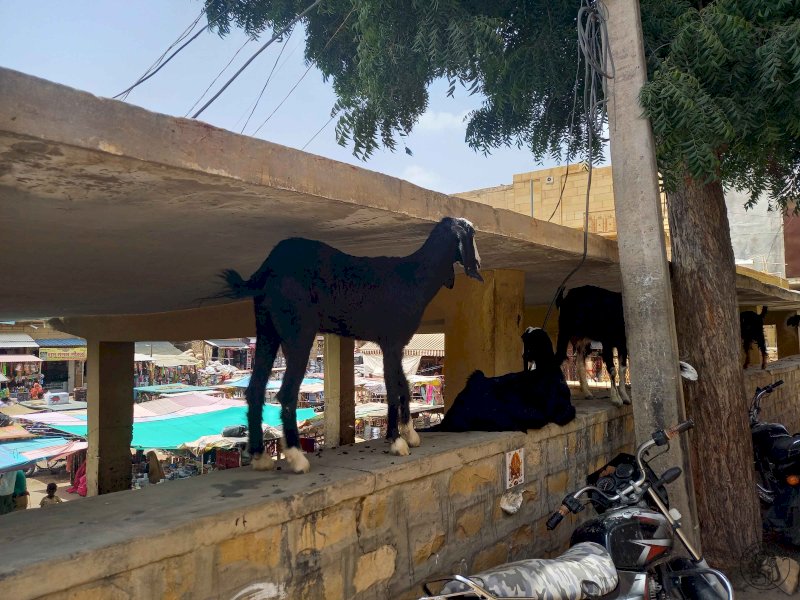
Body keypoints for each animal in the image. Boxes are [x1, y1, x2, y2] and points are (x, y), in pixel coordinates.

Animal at [219, 216, 482, 474]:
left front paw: (409, 434)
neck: (413, 277)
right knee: (286, 392)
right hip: (298, 332)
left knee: (255, 389)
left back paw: (260, 456)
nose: (478, 264)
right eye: (471, 234)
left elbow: (403, 386)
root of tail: (267, 267)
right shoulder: (392, 341)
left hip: (267, 330)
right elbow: (393, 389)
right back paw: (296, 457)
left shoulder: (394, 344)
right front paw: (397, 442)